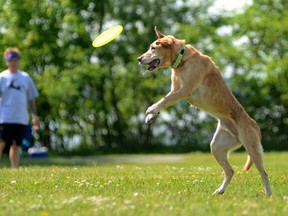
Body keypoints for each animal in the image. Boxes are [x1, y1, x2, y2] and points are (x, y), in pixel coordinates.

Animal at [137, 26, 272, 196]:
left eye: (153, 48)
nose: (139, 59)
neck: (182, 59)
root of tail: (255, 125)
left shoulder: (184, 90)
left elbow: (164, 100)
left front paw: (152, 109)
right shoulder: (175, 89)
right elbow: (164, 99)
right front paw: (151, 116)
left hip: (253, 149)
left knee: (264, 173)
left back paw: (268, 195)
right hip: (216, 147)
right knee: (230, 171)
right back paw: (220, 190)